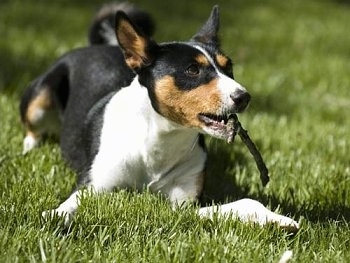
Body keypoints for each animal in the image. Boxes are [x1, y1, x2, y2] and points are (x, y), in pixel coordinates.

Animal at [19, 4, 298, 231]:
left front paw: (278, 219)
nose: (244, 97)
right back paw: (30, 146)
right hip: (40, 98)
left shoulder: (184, 204)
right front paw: (53, 216)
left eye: (228, 67)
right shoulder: (93, 185)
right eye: (192, 70)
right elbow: (68, 206)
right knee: (33, 126)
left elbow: (246, 203)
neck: (159, 141)